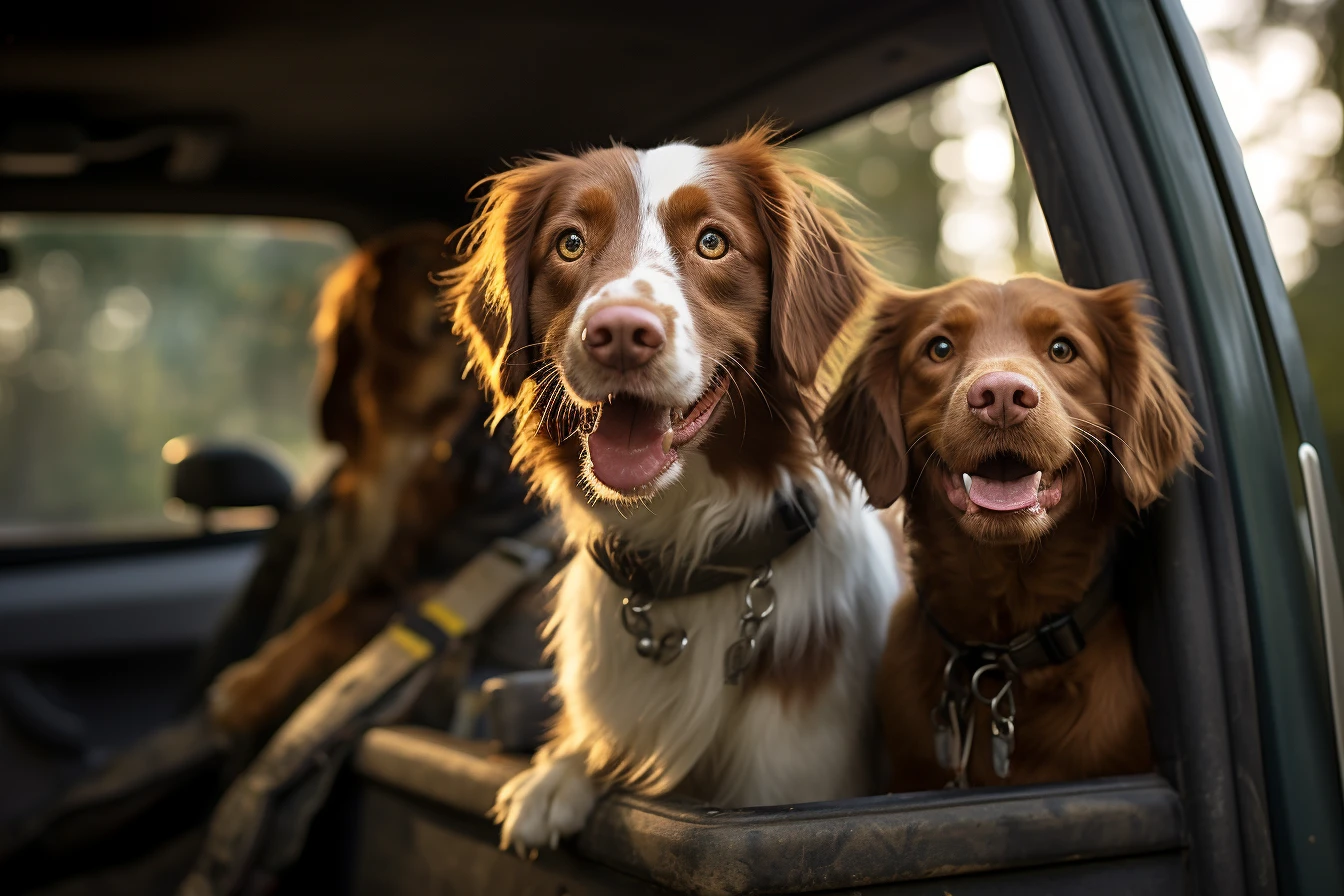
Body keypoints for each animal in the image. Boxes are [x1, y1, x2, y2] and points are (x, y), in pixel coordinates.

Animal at [443, 127, 903, 854]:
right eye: (569, 243)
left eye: (713, 242)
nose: (620, 334)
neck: (683, 545)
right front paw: (559, 770)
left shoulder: (794, 781)